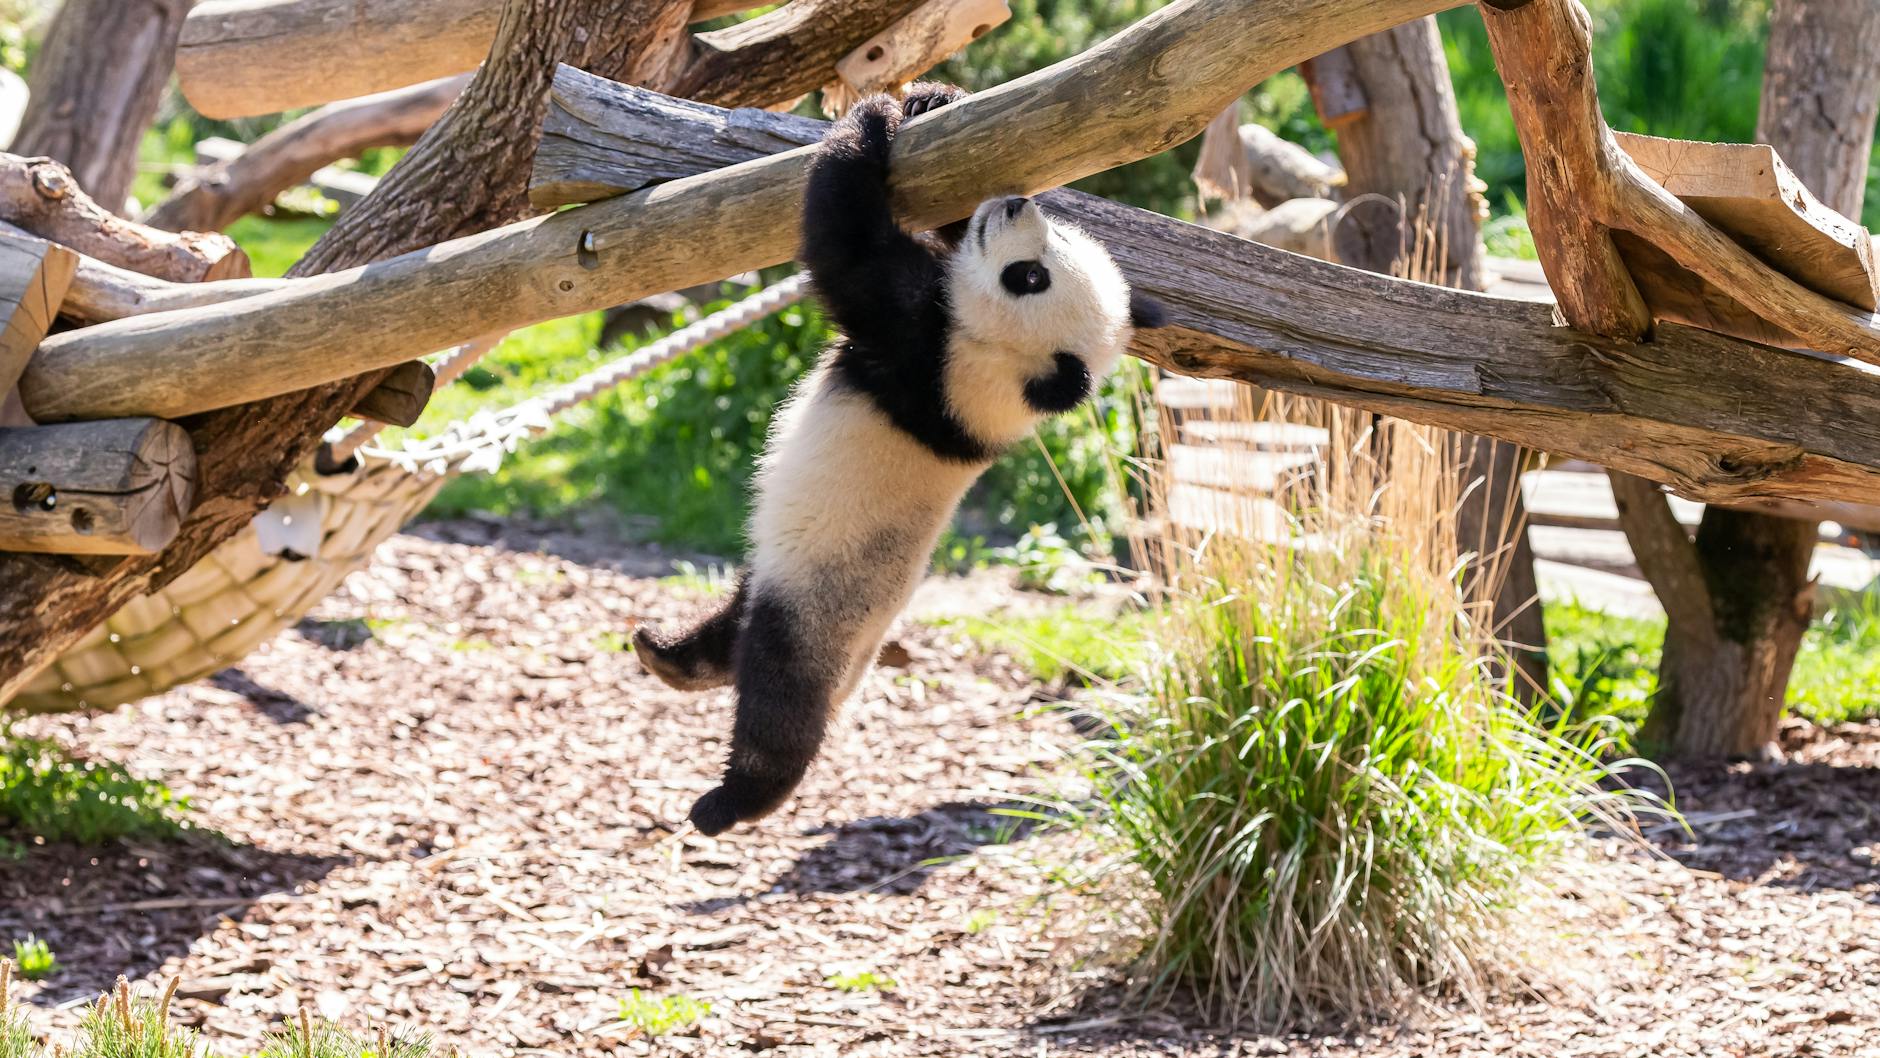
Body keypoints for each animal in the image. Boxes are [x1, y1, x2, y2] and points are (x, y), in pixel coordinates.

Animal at [633, 83, 1165, 836]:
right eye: (1051, 249)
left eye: (1030, 276)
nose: (1015, 204)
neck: (1010, 374)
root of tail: (856, 669)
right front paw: (929, 101)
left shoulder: (930, 353)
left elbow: (846, 249)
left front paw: (870, 121)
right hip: (783, 576)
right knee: (732, 626)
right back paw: (665, 652)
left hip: (821, 609)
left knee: (777, 700)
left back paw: (729, 802)